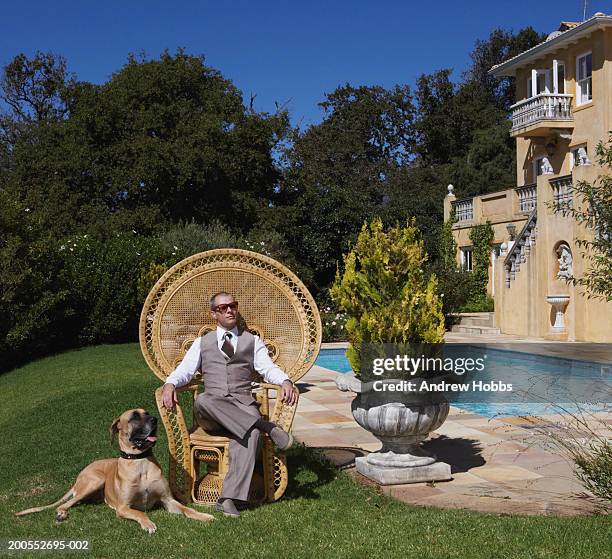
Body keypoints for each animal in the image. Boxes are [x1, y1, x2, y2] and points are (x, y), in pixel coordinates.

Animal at [15, 412, 214, 532]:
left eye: (148, 413)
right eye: (134, 417)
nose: (155, 420)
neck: (140, 461)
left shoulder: (168, 500)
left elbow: (186, 509)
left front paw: (203, 515)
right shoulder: (123, 507)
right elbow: (140, 513)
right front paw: (148, 523)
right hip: (95, 480)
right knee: (65, 504)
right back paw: (62, 513)